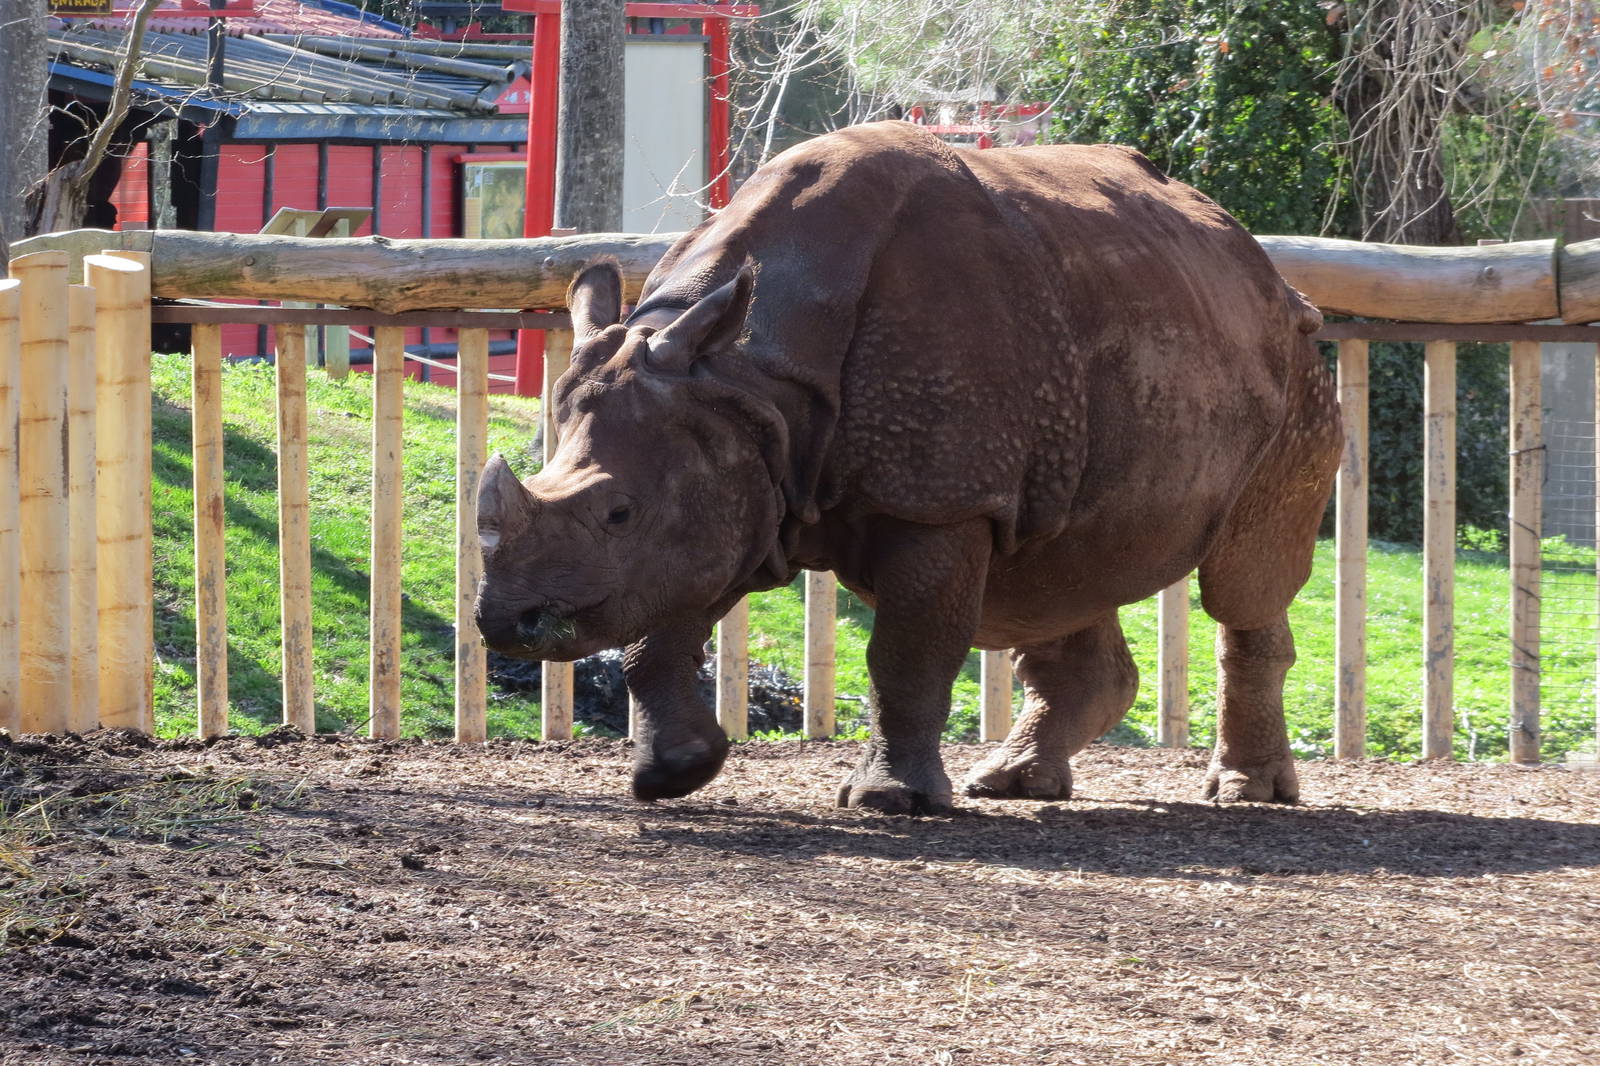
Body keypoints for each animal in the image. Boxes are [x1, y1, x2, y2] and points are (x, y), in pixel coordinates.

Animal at [475, 121, 1341, 815]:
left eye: (618, 512)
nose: (505, 622)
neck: (746, 376)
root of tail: (1254, 254)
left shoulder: (939, 498)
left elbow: (906, 650)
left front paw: (891, 801)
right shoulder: (727, 471)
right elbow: (659, 626)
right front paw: (674, 776)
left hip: (1297, 361)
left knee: (1241, 578)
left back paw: (1247, 792)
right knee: (1056, 569)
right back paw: (1015, 782)